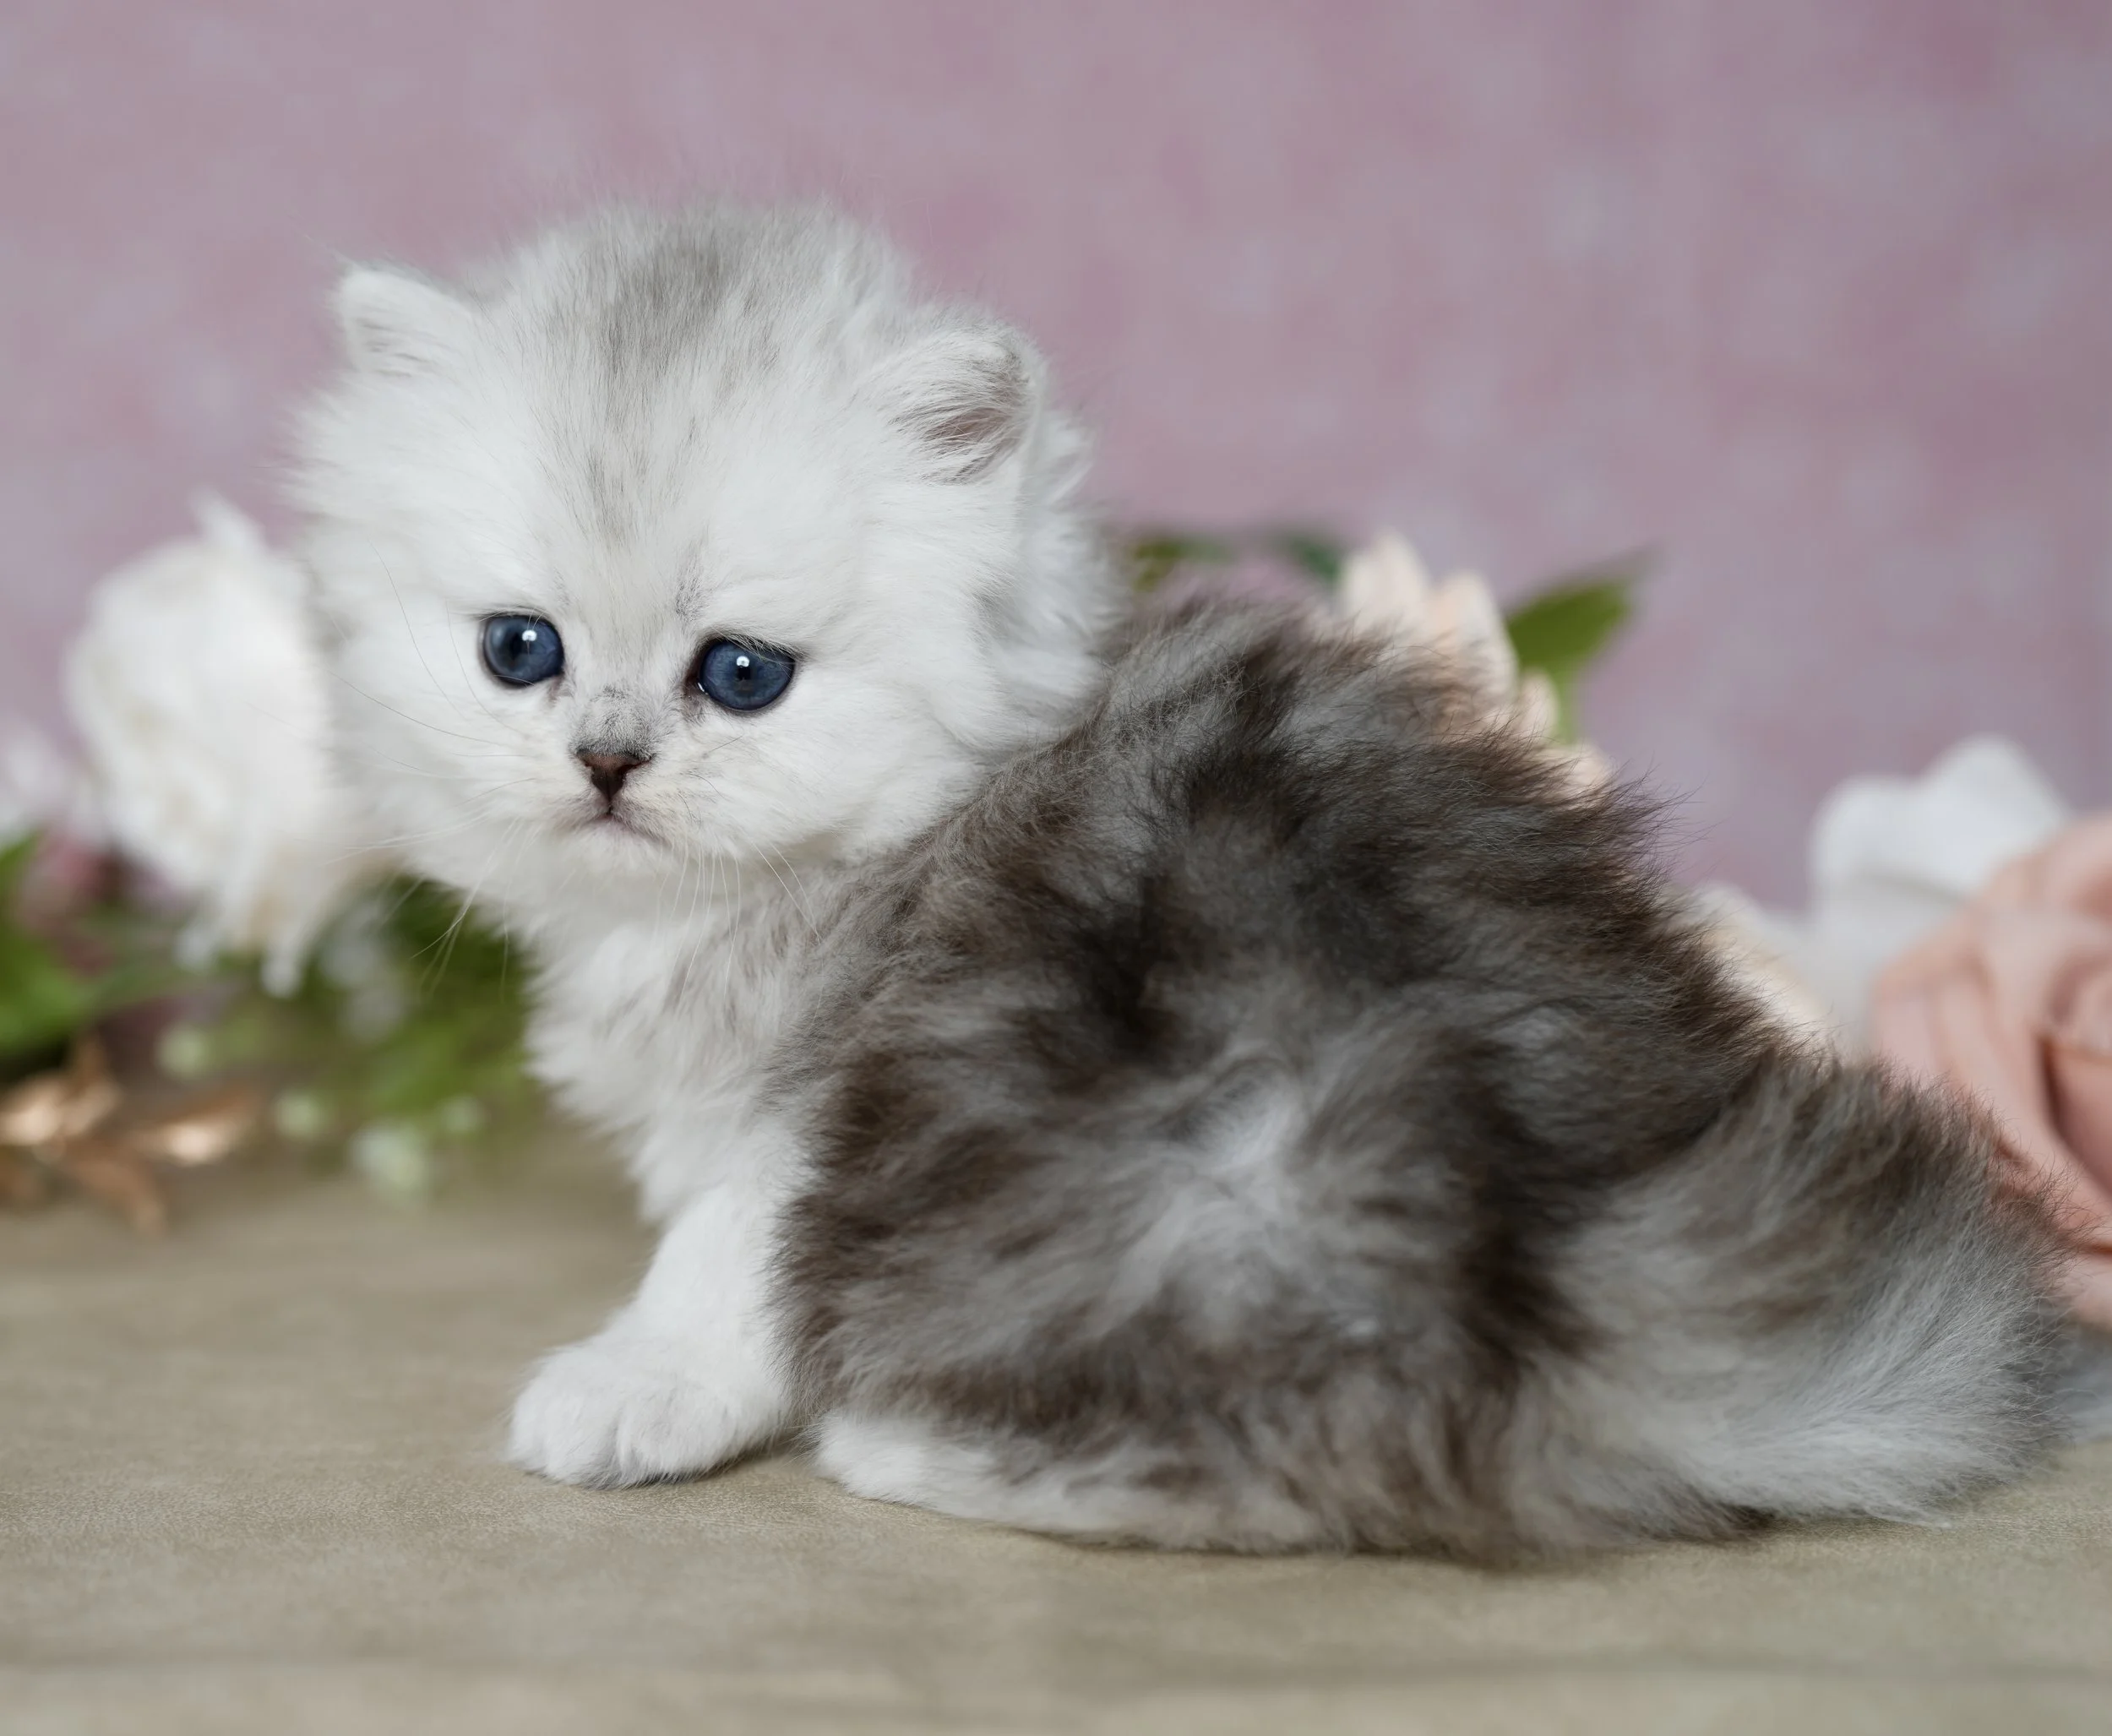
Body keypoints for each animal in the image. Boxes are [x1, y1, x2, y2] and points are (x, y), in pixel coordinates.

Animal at [295, 203, 2066, 1557]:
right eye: (519, 652)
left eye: (742, 675)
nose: (606, 762)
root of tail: (1624, 1286)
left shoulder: (814, 1110)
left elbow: (718, 1274)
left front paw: (636, 1387)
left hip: (1198, 1185)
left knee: (1301, 1469)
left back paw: (913, 1449)